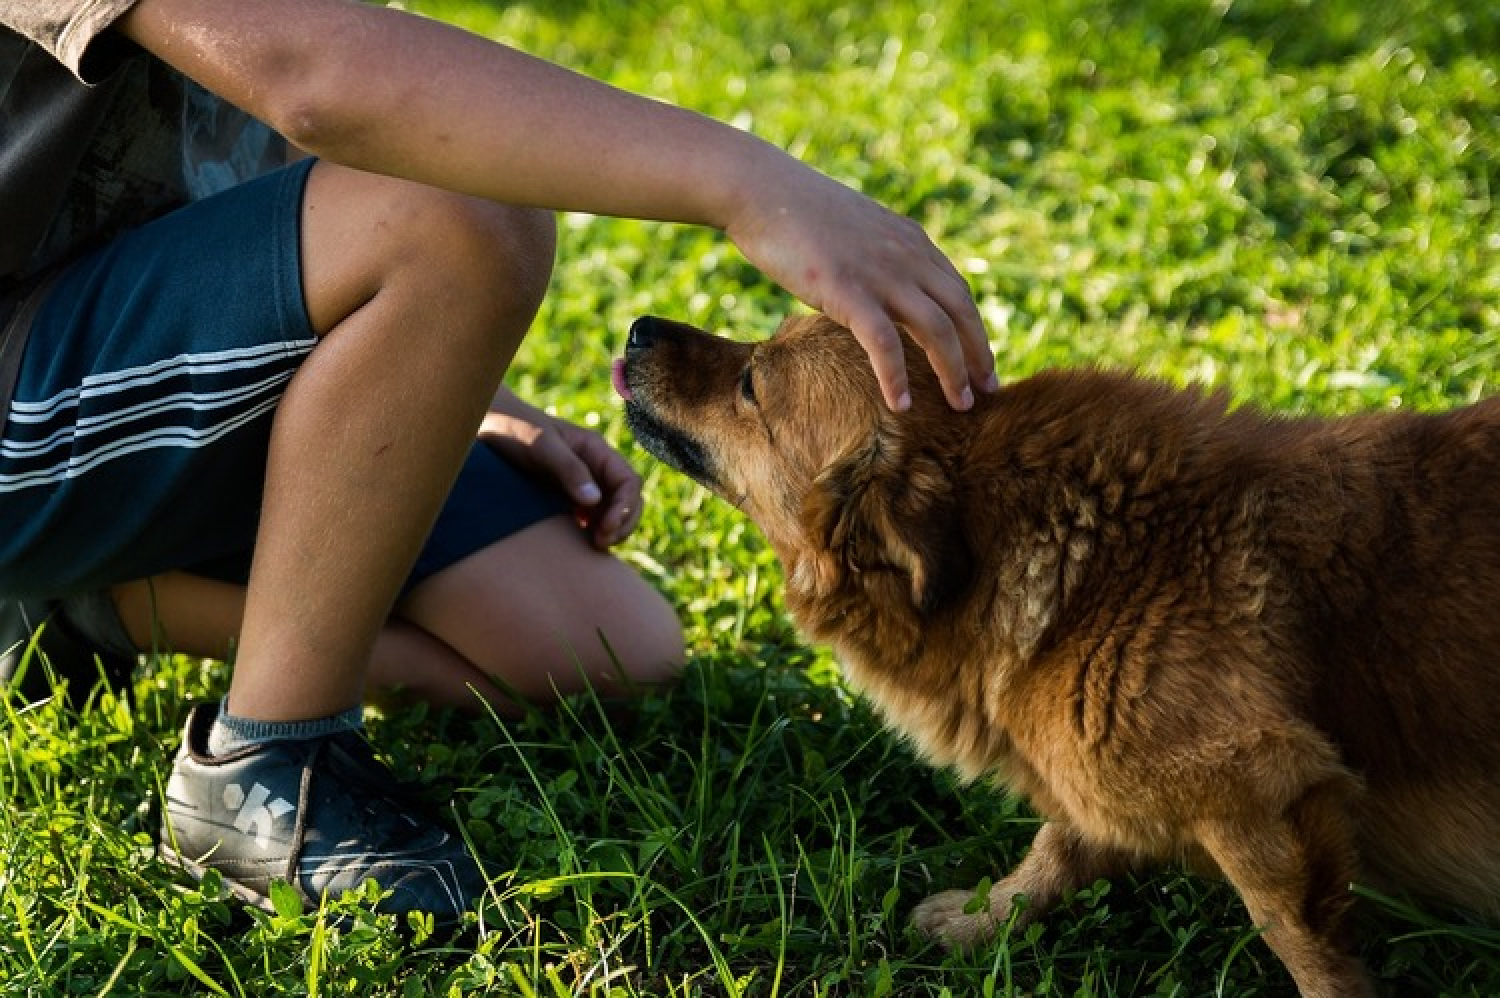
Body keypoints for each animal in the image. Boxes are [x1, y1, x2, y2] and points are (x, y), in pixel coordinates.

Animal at [615, 307, 1500, 990]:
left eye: (751, 383)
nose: (638, 327)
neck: (1093, 561)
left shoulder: (1260, 789)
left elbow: (1300, 944)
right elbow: (1058, 847)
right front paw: (986, 920)